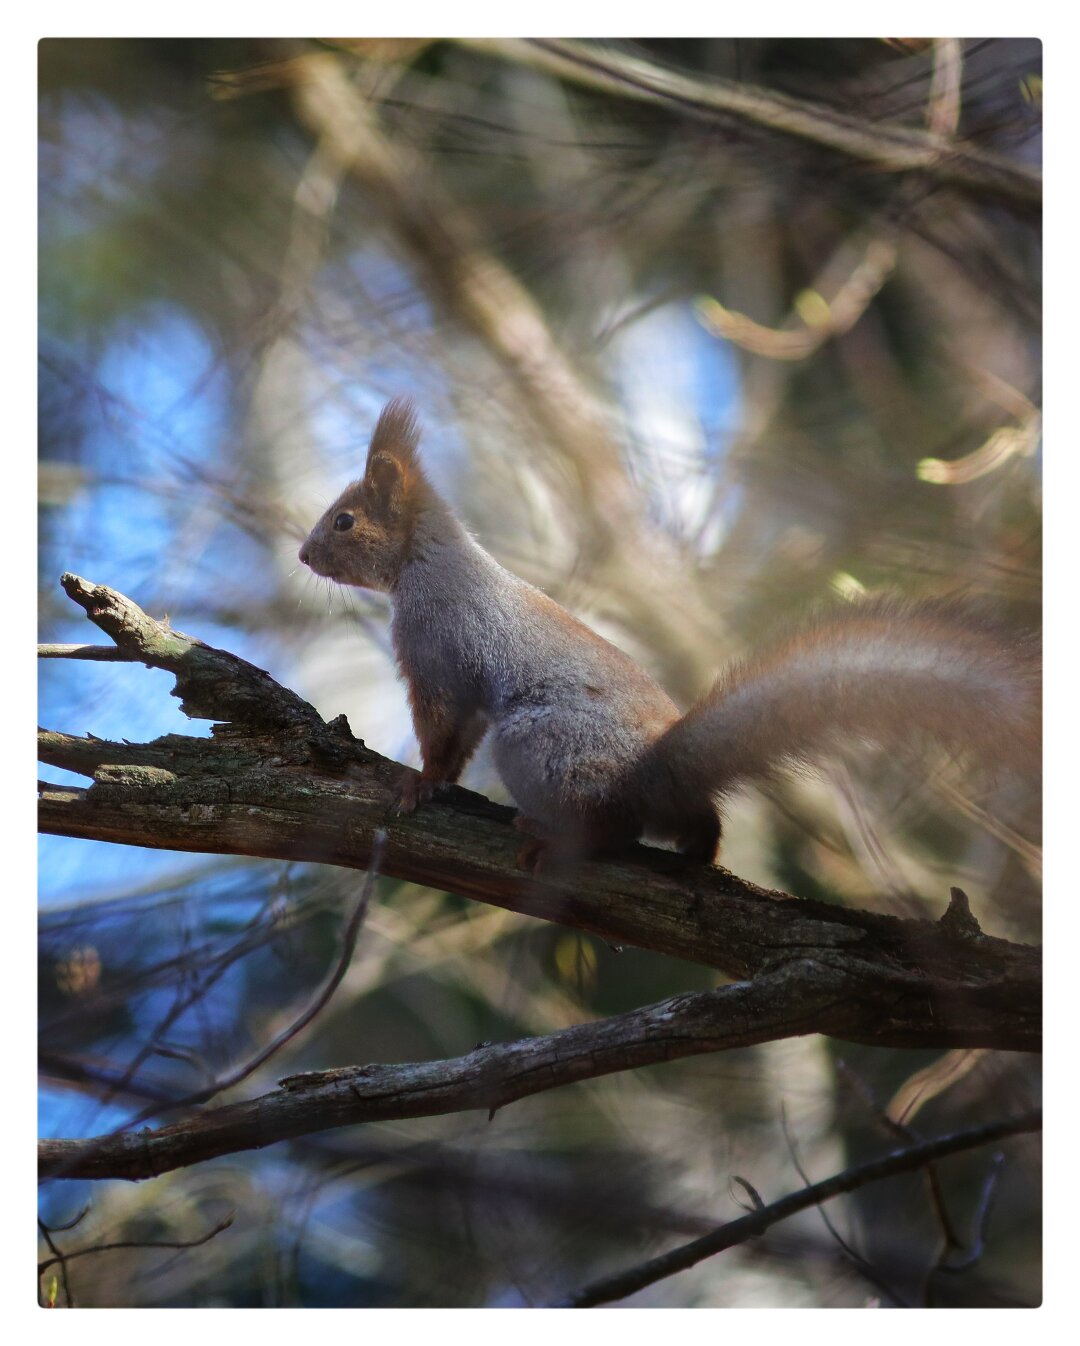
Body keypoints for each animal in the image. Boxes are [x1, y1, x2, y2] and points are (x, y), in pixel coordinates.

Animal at [298, 398, 1040, 866]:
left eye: (344, 520)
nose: (303, 556)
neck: (426, 558)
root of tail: (652, 772)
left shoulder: (435, 646)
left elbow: (443, 728)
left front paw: (418, 784)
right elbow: (458, 736)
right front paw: (432, 783)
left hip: (540, 746)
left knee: (611, 828)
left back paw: (555, 834)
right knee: (695, 822)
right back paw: (699, 847)